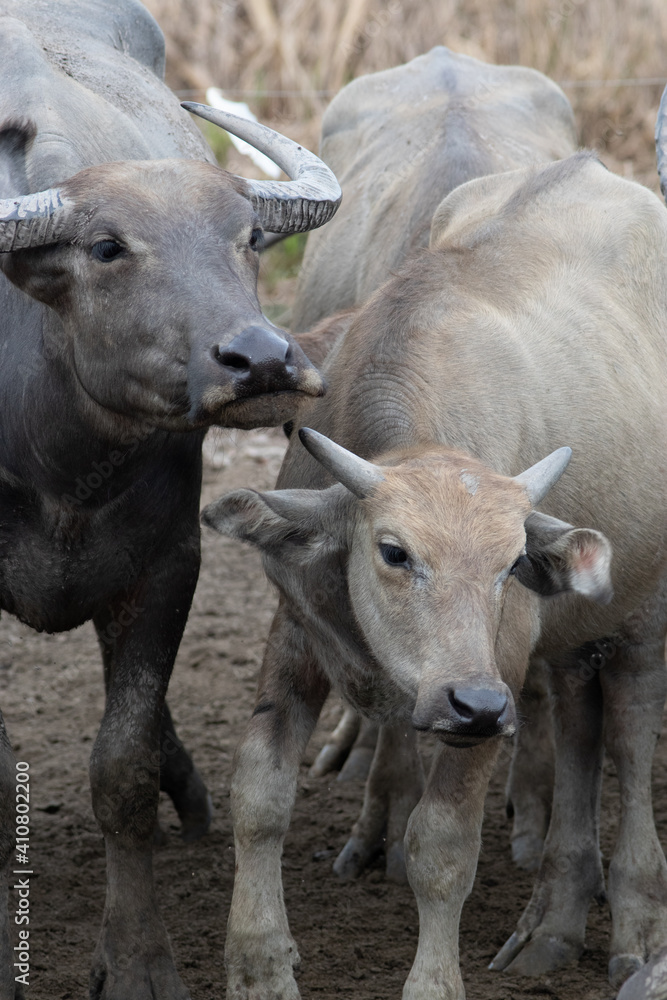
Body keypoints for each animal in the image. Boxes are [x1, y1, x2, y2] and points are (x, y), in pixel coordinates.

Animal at [0, 1, 342, 1000]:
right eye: (108, 246)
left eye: (246, 240)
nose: (262, 360)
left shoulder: (164, 570)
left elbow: (122, 767)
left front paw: (139, 958)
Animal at [204, 150, 667, 1000]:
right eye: (392, 551)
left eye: (509, 563)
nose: (474, 703)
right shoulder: (296, 628)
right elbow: (258, 794)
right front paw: (258, 962)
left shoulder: (499, 675)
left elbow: (442, 849)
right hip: (569, 640)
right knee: (579, 731)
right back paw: (553, 920)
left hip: (639, 619)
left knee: (627, 735)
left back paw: (634, 928)